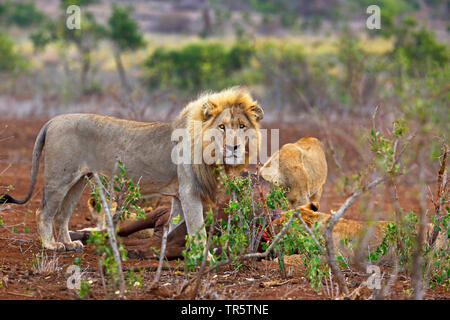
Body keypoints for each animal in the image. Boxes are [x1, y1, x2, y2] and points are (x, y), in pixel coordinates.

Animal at [0, 86, 264, 251]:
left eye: (242, 126)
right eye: (222, 126)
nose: (234, 147)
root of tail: (53, 120)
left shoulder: (179, 194)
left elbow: (175, 225)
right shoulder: (190, 191)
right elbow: (197, 228)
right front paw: (204, 258)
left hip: (78, 180)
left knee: (62, 215)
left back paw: (69, 244)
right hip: (59, 178)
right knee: (44, 212)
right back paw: (50, 245)